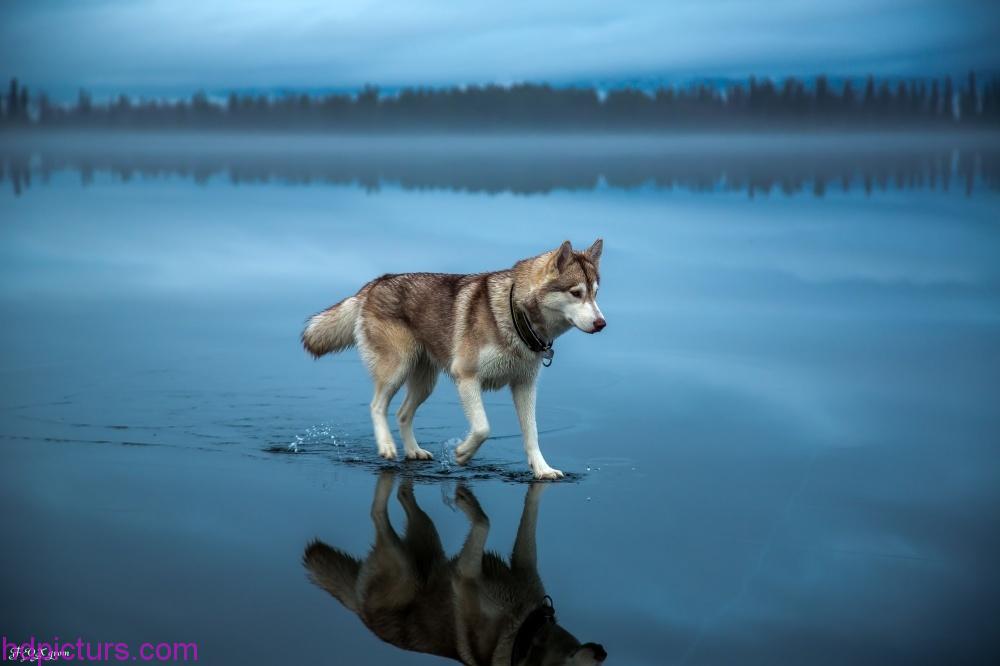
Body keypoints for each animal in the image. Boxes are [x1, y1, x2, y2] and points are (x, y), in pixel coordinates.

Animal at [300, 239, 604, 478]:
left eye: (595, 293)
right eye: (576, 293)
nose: (602, 323)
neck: (515, 315)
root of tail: (376, 282)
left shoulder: (524, 386)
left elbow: (532, 434)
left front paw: (542, 470)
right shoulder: (466, 377)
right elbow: (482, 428)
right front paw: (462, 453)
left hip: (425, 383)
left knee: (402, 414)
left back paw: (413, 451)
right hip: (397, 369)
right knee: (377, 406)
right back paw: (386, 446)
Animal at [300, 472, 604, 664]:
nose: (603, 652)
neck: (525, 632)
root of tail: (360, 613)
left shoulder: (523, 565)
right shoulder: (465, 574)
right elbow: (484, 522)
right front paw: (466, 501)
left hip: (426, 541)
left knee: (403, 497)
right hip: (405, 568)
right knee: (377, 513)